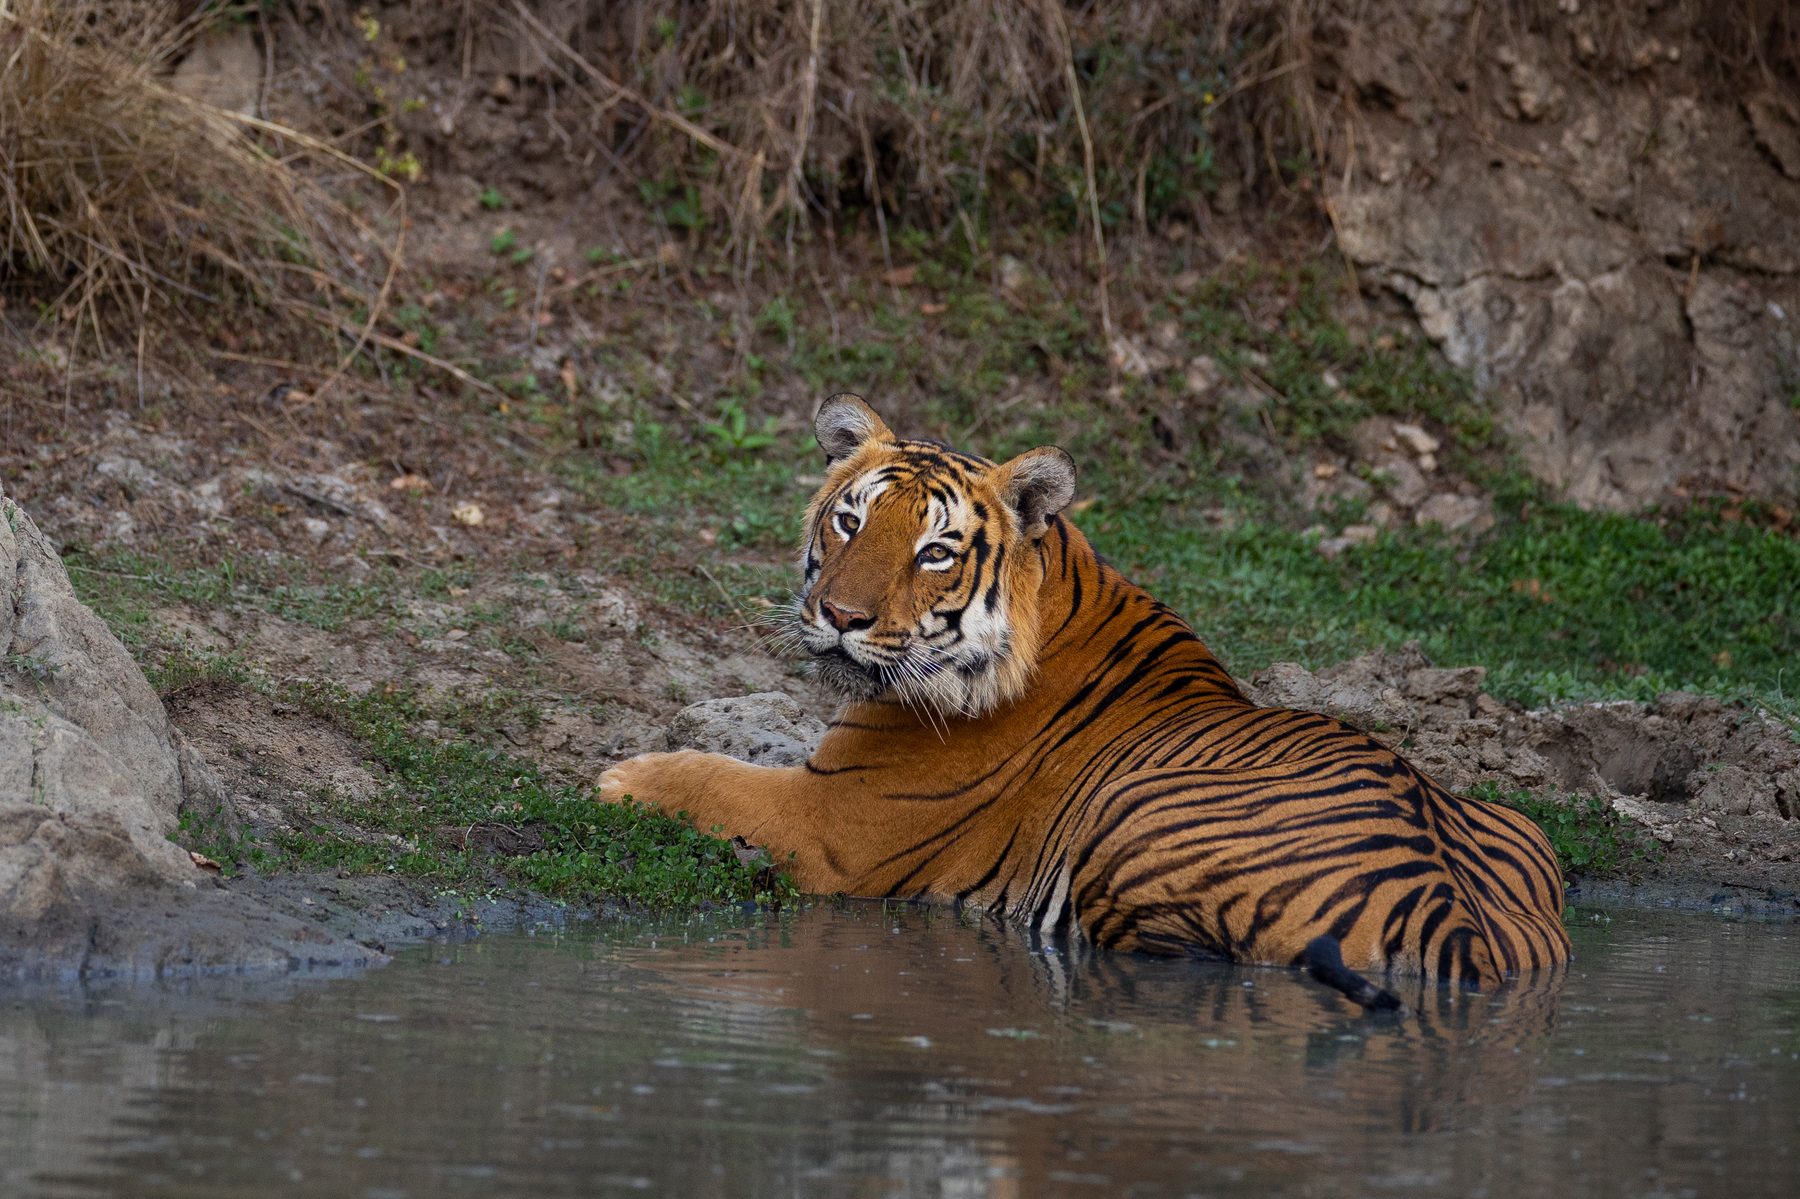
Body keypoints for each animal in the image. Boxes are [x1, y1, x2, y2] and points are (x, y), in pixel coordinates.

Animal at [599, 393, 1571, 1008]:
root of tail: (1454, 918)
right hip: (1523, 824)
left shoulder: (833, 819)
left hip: (1134, 824)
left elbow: (715, 777)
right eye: (850, 520)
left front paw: (619, 776)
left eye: (934, 551)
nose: (839, 616)